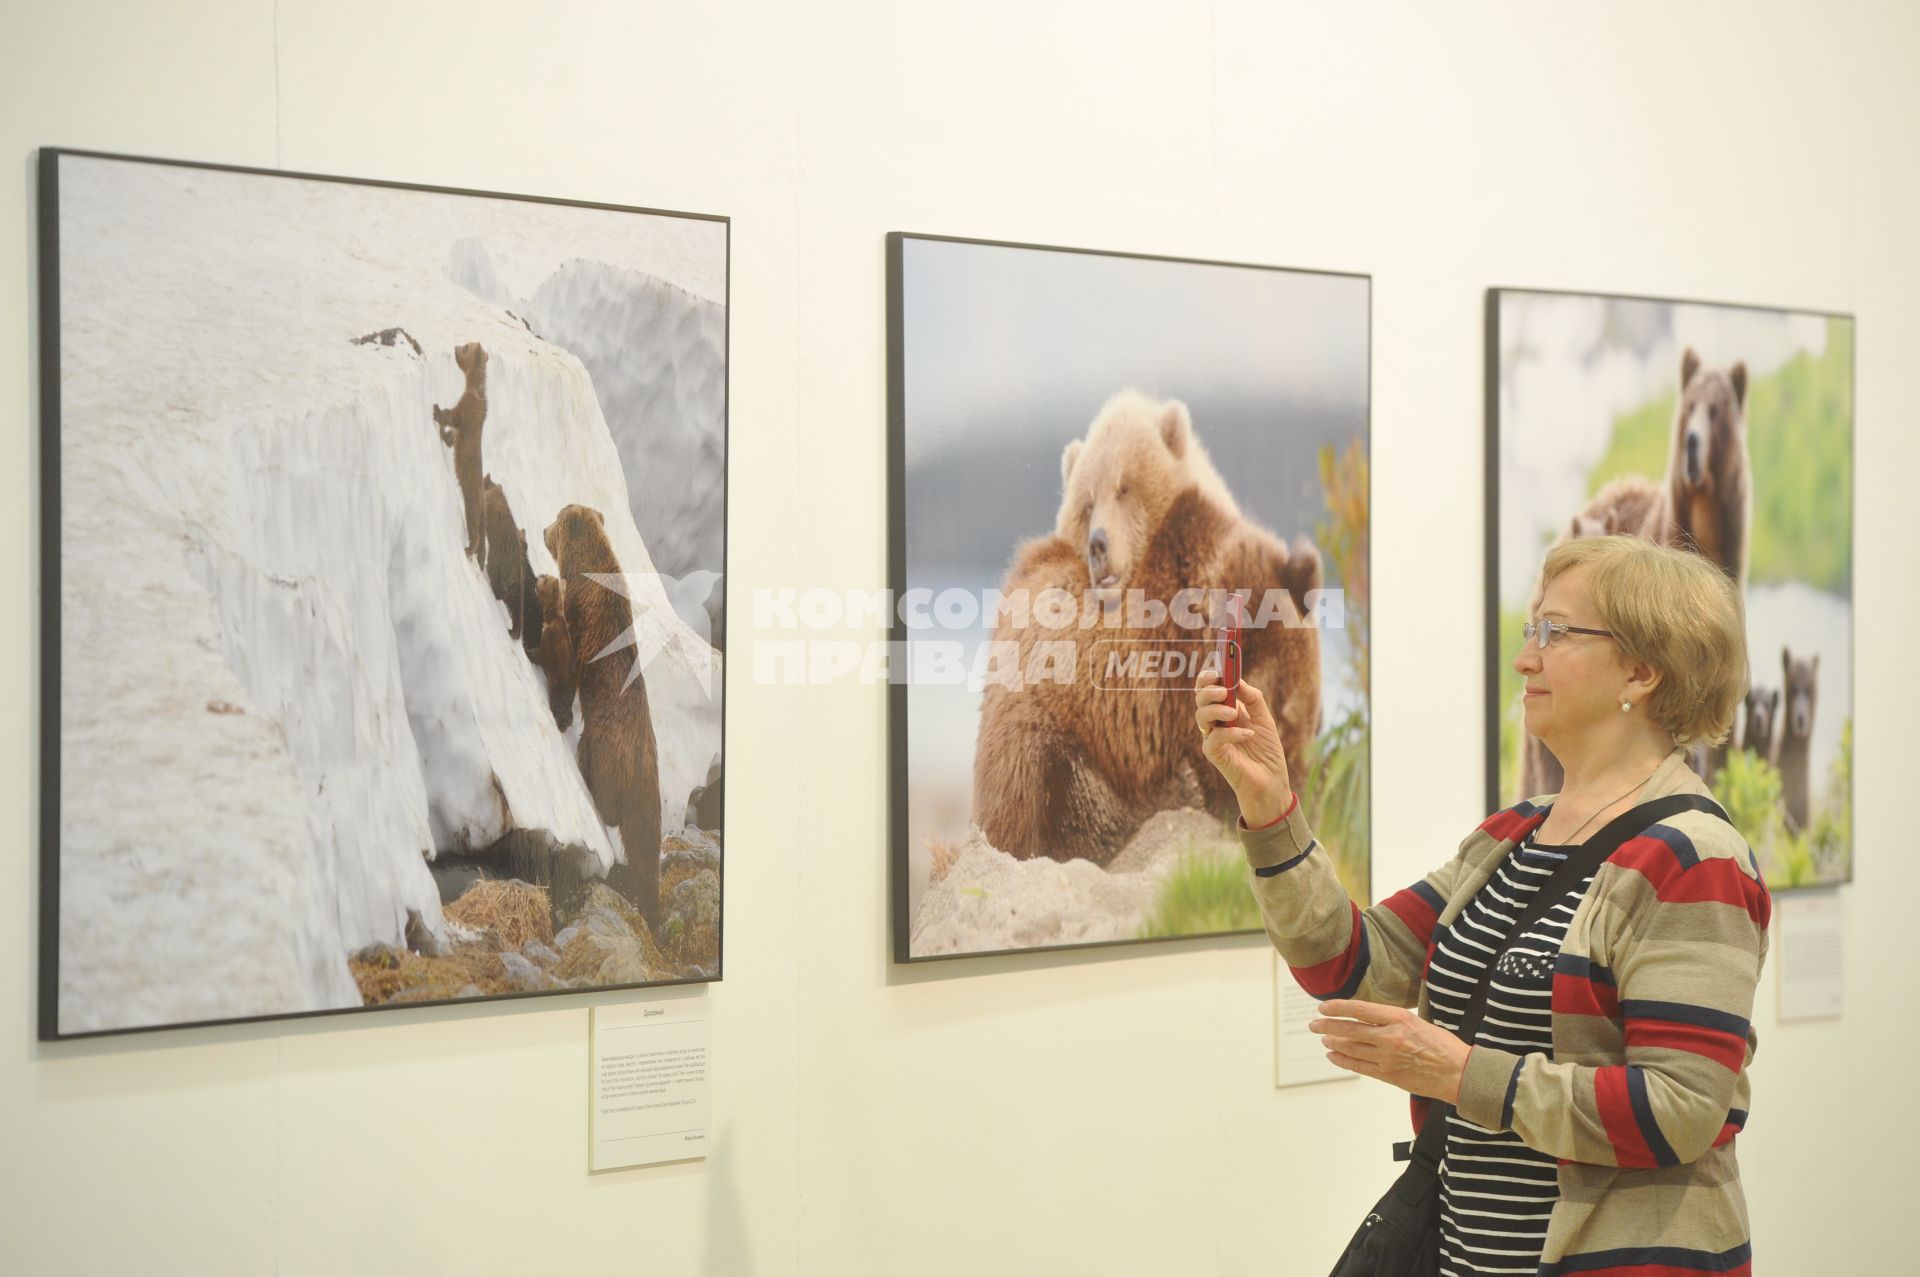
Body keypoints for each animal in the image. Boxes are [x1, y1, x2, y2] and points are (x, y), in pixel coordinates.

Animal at [435, 341, 491, 560]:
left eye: (466, 346)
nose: (455, 347)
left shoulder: (467, 408)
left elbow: (454, 416)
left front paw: (436, 410)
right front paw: (447, 436)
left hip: (471, 500)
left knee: (475, 528)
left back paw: (468, 549)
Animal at [526, 576, 576, 725]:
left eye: (545, 580)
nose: (538, 577)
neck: (552, 617)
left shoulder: (551, 644)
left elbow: (540, 654)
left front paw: (528, 652)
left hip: (559, 687)